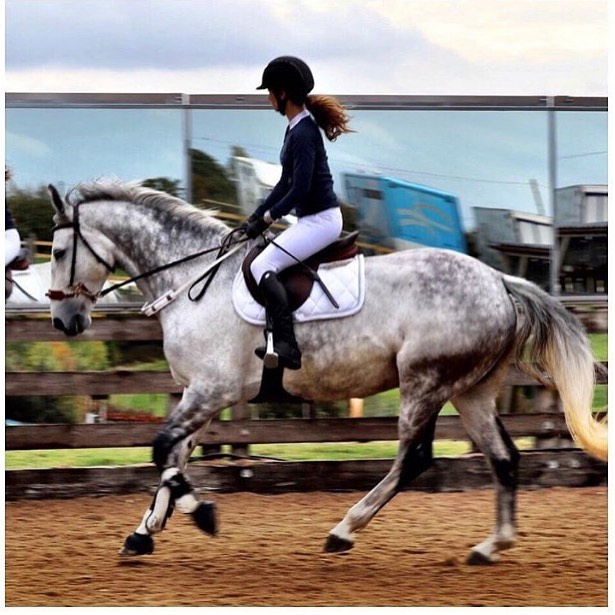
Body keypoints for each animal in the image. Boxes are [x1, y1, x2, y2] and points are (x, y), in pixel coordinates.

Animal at [47, 180, 608, 564]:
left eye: (57, 251)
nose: (64, 321)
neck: (192, 279)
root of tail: (498, 280)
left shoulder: (212, 389)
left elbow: (163, 449)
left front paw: (200, 515)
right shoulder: (198, 394)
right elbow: (173, 455)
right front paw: (143, 533)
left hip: (424, 381)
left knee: (413, 459)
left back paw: (343, 531)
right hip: (470, 391)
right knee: (504, 457)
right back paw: (491, 545)